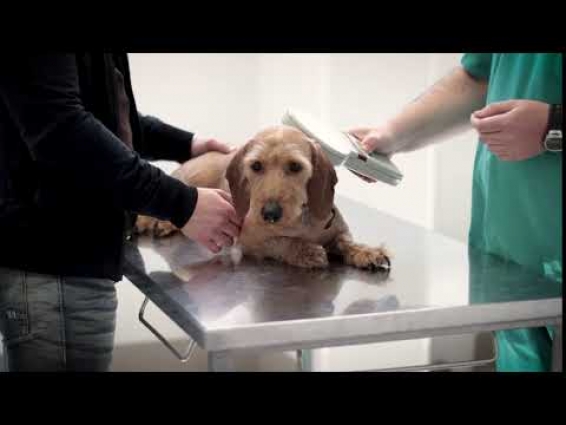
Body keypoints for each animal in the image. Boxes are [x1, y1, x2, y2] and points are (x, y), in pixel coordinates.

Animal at [134, 124, 390, 270]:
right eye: (256, 166)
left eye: (295, 166)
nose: (270, 213)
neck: (301, 220)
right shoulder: (248, 238)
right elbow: (280, 242)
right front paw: (306, 251)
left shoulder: (338, 230)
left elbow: (346, 242)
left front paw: (368, 252)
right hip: (191, 181)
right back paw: (157, 222)